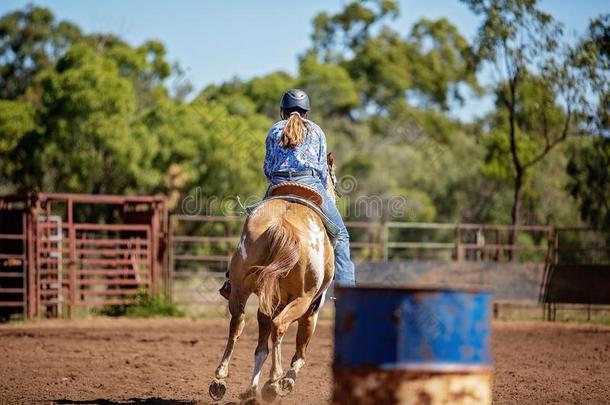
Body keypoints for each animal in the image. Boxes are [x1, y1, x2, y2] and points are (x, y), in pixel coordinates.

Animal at [209, 153, 338, 402]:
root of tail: (282, 223)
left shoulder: (268, 302)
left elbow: (261, 346)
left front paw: (250, 390)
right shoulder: (312, 311)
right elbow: (299, 352)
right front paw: (285, 382)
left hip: (240, 289)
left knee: (237, 324)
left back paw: (219, 380)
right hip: (304, 300)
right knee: (279, 326)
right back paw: (273, 382)